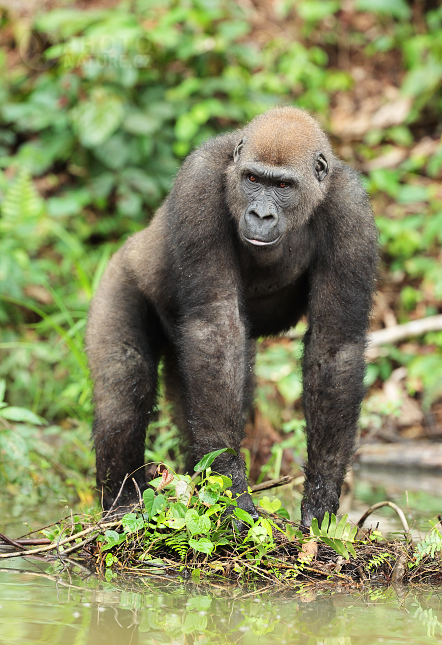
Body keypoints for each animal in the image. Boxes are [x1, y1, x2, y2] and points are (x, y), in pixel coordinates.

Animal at [85, 107, 376, 528]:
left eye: (283, 185)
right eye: (253, 179)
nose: (260, 213)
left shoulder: (352, 211)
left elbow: (335, 346)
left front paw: (322, 494)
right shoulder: (199, 181)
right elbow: (215, 326)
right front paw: (232, 490)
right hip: (119, 276)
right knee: (124, 386)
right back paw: (121, 502)